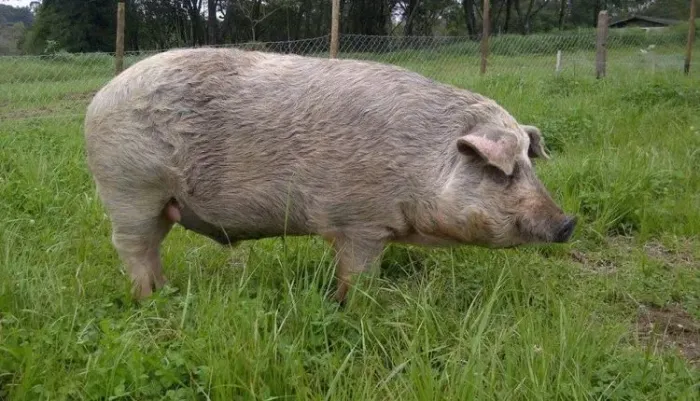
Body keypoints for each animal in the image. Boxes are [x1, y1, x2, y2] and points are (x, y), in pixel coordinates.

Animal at [83, 47, 576, 303]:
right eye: (503, 172)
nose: (569, 222)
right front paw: (353, 306)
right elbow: (358, 276)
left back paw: (166, 293)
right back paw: (151, 299)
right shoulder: (359, 222)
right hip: (130, 190)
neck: (422, 162)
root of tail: (99, 98)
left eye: (530, 163)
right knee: (133, 248)